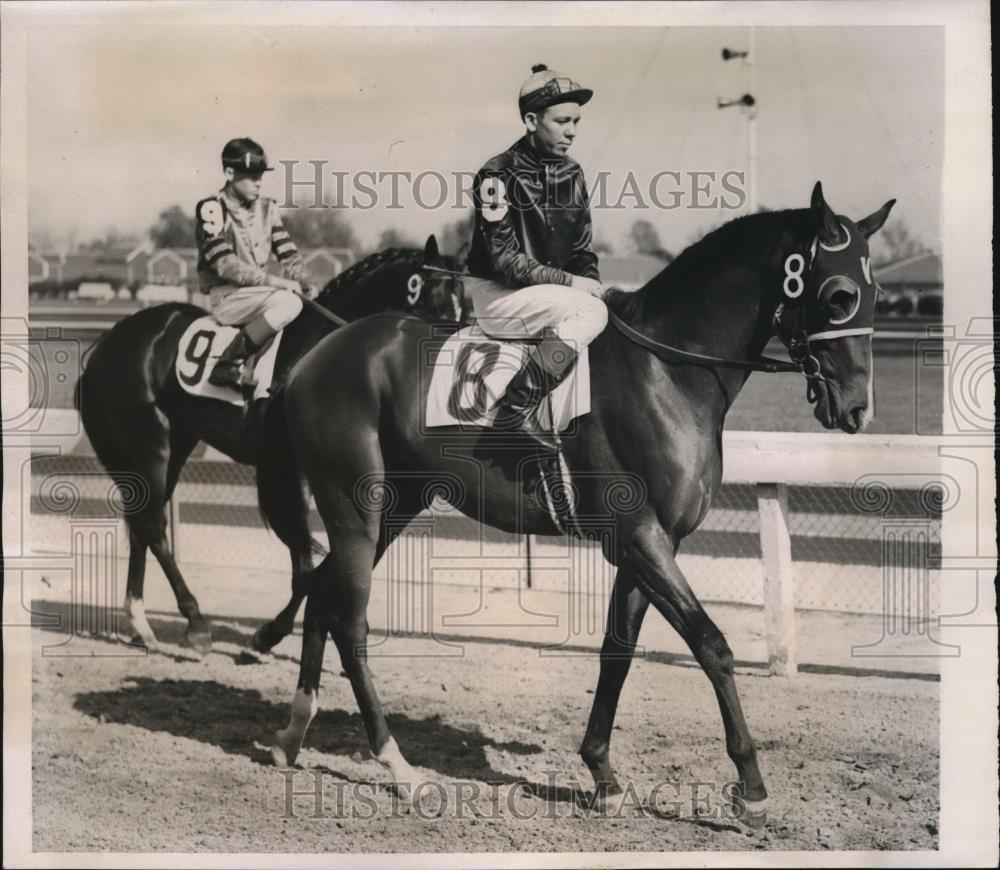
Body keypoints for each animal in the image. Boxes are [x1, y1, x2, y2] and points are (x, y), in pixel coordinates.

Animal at [76, 235, 466, 656]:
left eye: (465, 303)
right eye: (438, 302)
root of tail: (107, 342)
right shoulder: (290, 471)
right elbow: (305, 563)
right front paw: (268, 634)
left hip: (173, 444)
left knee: (142, 523)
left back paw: (141, 623)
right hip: (150, 443)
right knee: (152, 525)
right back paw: (195, 623)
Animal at [254, 184, 896, 824]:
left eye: (876, 295)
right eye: (840, 295)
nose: (857, 410)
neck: (667, 373)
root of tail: (315, 356)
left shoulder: (649, 544)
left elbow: (618, 650)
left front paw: (603, 773)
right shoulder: (640, 536)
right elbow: (710, 644)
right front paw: (751, 785)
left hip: (395, 505)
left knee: (322, 592)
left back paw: (291, 734)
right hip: (354, 506)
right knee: (351, 620)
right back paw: (399, 767)